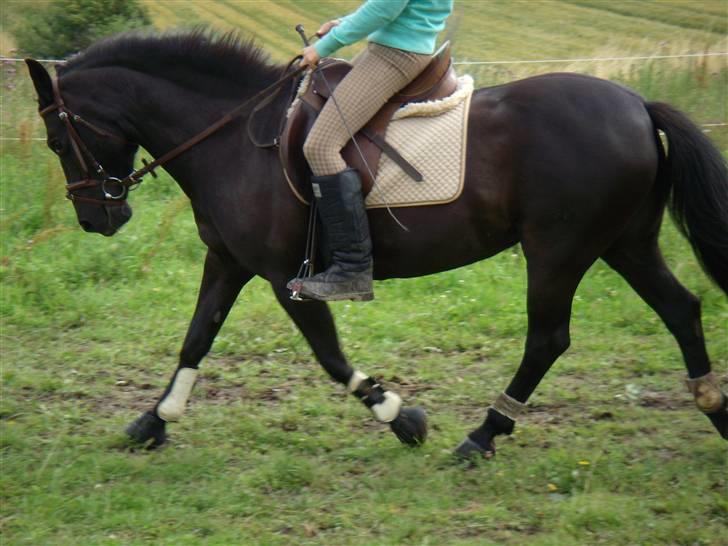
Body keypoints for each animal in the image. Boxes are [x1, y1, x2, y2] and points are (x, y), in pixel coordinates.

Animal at [25, 31, 728, 458]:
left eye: (59, 139)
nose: (99, 219)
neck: (232, 137)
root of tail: (637, 103)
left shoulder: (286, 277)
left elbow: (330, 355)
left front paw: (400, 415)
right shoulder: (227, 261)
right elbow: (196, 337)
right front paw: (153, 421)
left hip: (558, 250)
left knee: (549, 339)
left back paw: (482, 436)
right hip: (623, 242)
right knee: (681, 309)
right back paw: (714, 408)